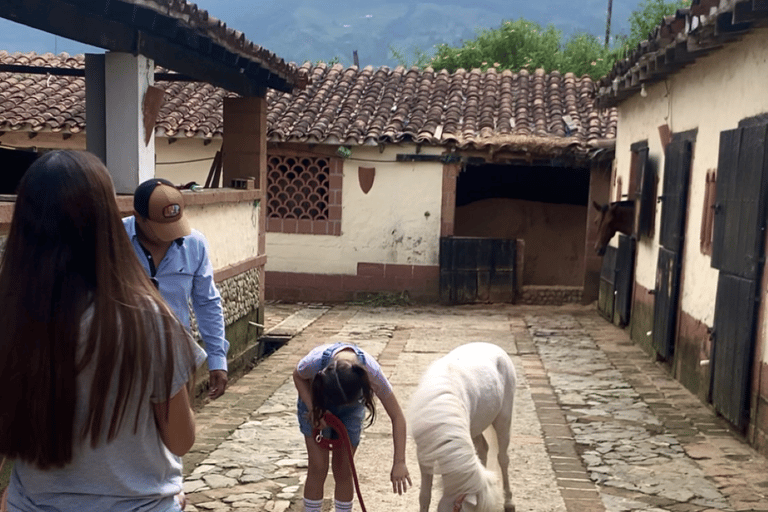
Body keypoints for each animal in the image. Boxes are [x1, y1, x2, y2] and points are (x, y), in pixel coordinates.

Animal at [408, 340, 516, 512]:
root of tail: (492, 345)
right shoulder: (424, 453)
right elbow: (424, 495)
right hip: (476, 427)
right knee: (483, 448)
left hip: (503, 419)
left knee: (503, 458)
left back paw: (509, 502)